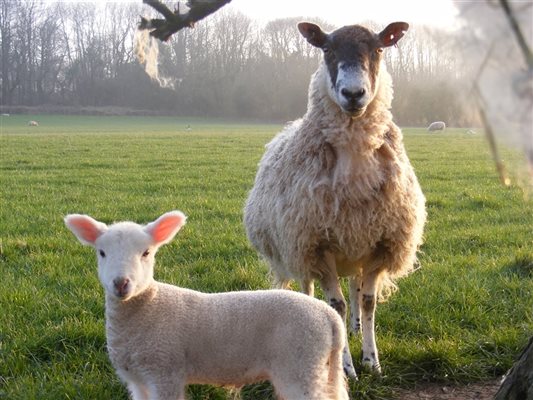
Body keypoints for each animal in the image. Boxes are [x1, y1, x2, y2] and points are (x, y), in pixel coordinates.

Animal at [63, 211, 350, 398]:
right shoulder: (137, 380)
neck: (147, 308)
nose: (121, 283)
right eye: (101, 253)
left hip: (300, 364)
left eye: (146, 253)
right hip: (317, 365)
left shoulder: (164, 373)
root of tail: (329, 317)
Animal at [243, 20, 426, 376]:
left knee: (355, 288)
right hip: (297, 250)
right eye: (326, 49)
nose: (353, 94)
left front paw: (372, 361)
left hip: (355, 245)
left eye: (379, 49)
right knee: (310, 291)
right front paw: (346, 367)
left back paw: (354, 329)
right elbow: (335, 304)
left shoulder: (380, 243)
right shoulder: (317, 245)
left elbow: (367, 301)